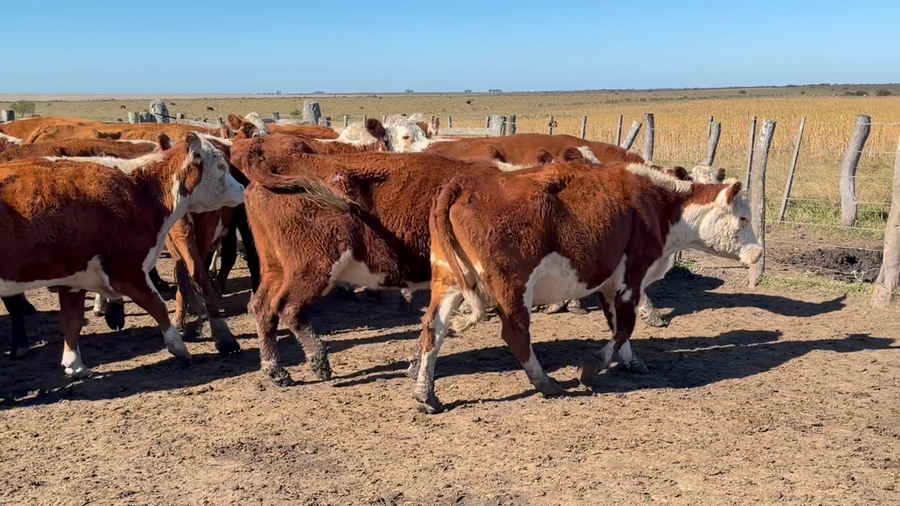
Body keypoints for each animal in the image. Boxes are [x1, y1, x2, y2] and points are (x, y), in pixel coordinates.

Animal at [0, 132, 245, 377]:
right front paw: (179, 347)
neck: (138, 191)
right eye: (221, 166)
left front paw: (74, 365)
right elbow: (157, 306)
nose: (243, 188)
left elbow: (73, 319)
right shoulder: (128, 269)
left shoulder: (74, 277)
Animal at [410, 161, 761, 413]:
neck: (659, 205)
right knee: (516, 334)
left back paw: (426, 395)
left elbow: (619, 328)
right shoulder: (631, 278)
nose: (758, 253)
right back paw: (546, 383)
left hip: (448, 280)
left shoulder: (608, 284)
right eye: (743, 218)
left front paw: (631, 361)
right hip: (513, 286)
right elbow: (624, 328)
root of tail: (465, 183)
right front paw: (593, 366)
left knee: (433, 329)